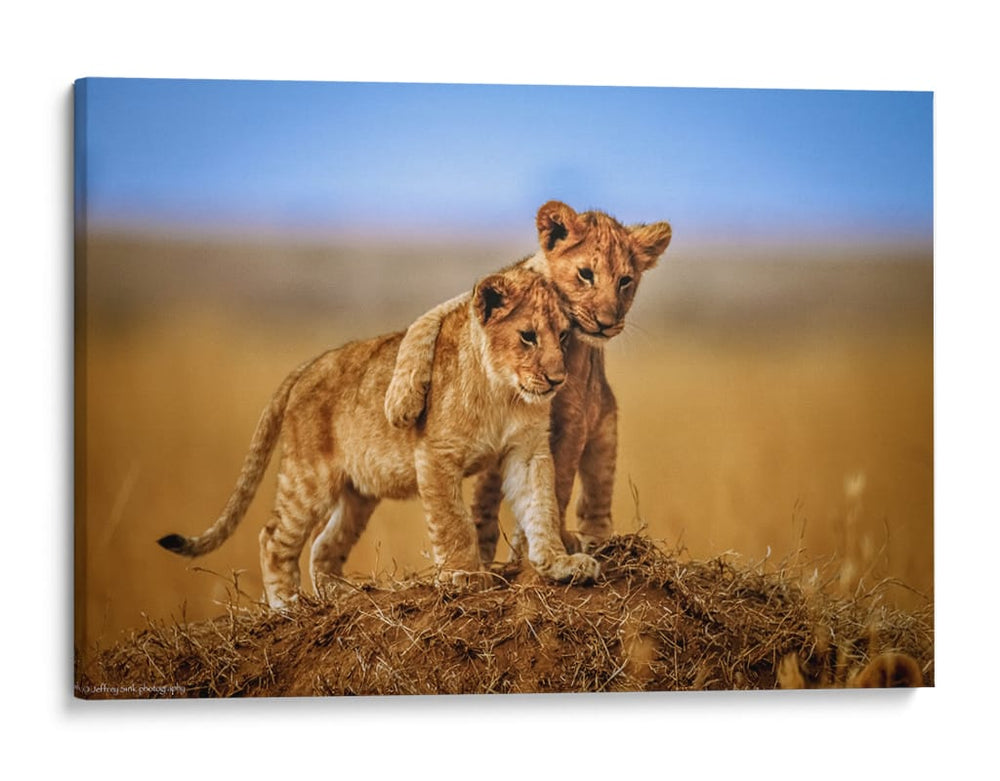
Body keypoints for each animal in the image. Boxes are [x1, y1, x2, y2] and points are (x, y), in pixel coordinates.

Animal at [157, 265, 600, 608]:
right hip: (309, 478)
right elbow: (453, 522)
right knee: (273, 538)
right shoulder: (436, 454)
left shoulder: (527, 451)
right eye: (528, 336)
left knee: (324, 545)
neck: (502, 392)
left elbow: (542, 506)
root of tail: (308, 366)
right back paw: (287, 605)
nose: (557, 379)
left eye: (563, 336)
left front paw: (559, 563)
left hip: (358, 493)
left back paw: (342, 595)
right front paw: (464, 575)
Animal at [384, 201, 672, 562]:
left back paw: (594, 543)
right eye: (585, 274)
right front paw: (401, 401)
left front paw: (540, 547)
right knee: (485, 499)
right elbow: (424, 324)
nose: (607, 323)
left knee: (595, 499)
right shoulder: (475, 302)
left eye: (625, 281)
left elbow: (557, 485)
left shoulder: (574, 417)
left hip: (604, 430)